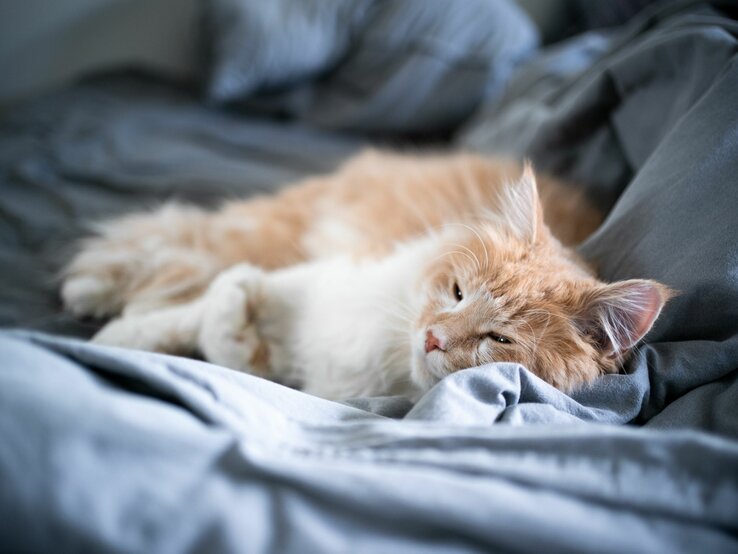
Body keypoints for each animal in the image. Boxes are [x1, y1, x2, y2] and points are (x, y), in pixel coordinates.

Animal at [63, 149, 668, 398]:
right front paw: (118, 340)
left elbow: (222, 338)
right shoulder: (317, 280)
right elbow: (195, 312)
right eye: (456, 292)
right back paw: (92, 290)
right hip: (282, 235)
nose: (432, 338)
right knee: (189, 246)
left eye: (499, 340)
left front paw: (234, 322)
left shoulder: (296, 371)